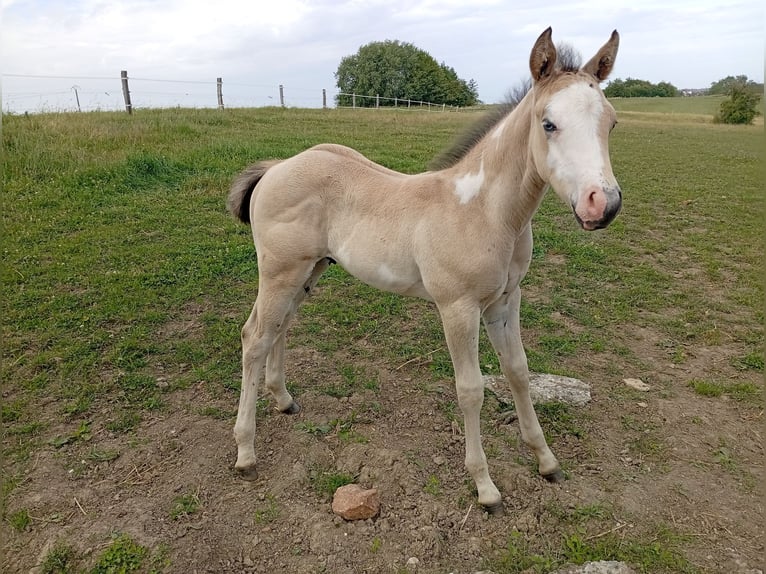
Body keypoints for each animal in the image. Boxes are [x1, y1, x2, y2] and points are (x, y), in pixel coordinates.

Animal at [226, 27, 621, 515]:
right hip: (280, 272)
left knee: (280, 327)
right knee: (254, 337)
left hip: (308, 271)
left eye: (611, 123)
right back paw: (246, 451)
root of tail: (277, 167)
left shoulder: (505, 301)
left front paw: (546, 461)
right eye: (548, 124)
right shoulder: (458, 308)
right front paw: (485, 487)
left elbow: (518, 371)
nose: (602, 205)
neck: (485, 212)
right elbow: (471, 390)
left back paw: (283, 400)